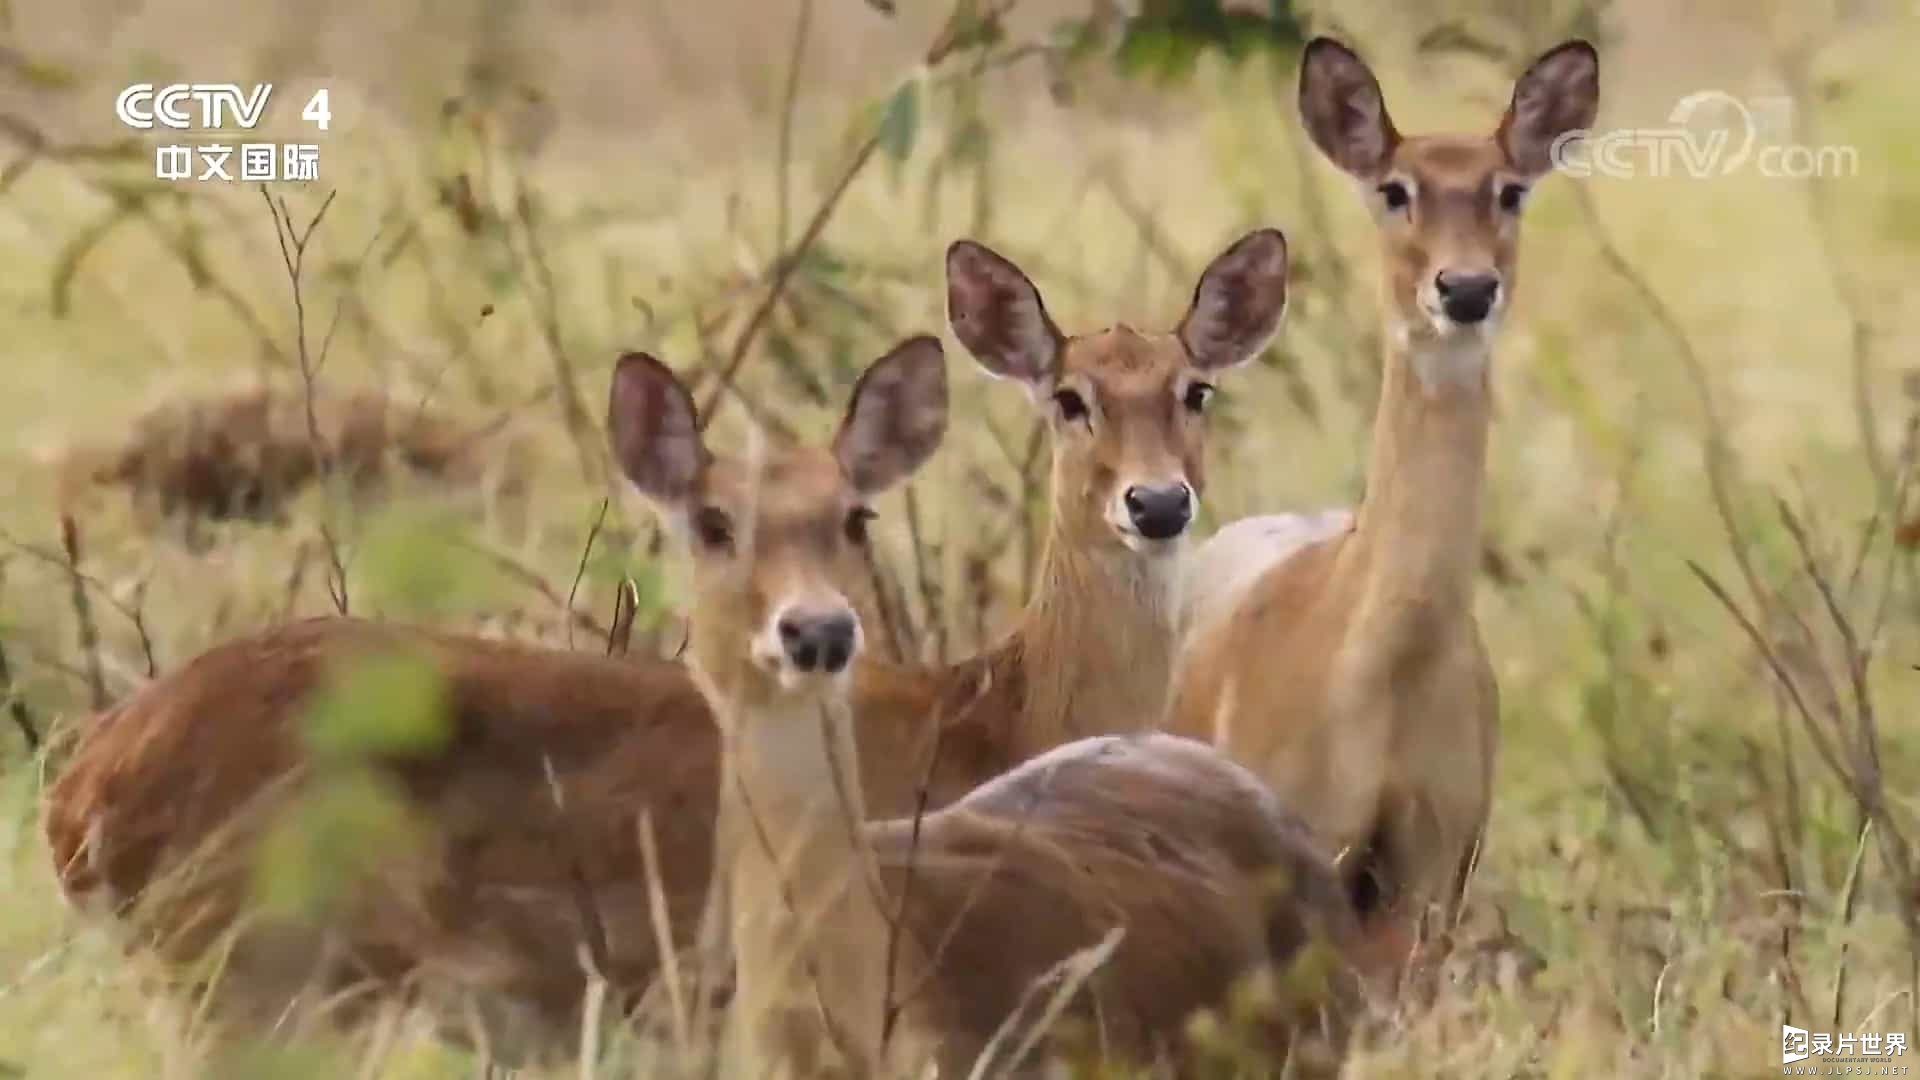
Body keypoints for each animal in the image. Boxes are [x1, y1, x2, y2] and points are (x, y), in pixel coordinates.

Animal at [37, 224, 1290, 1053]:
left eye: (1197, 389)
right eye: (1070, 397)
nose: (1156, 503)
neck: (999, 708)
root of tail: (78, 795)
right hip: (260, 978)